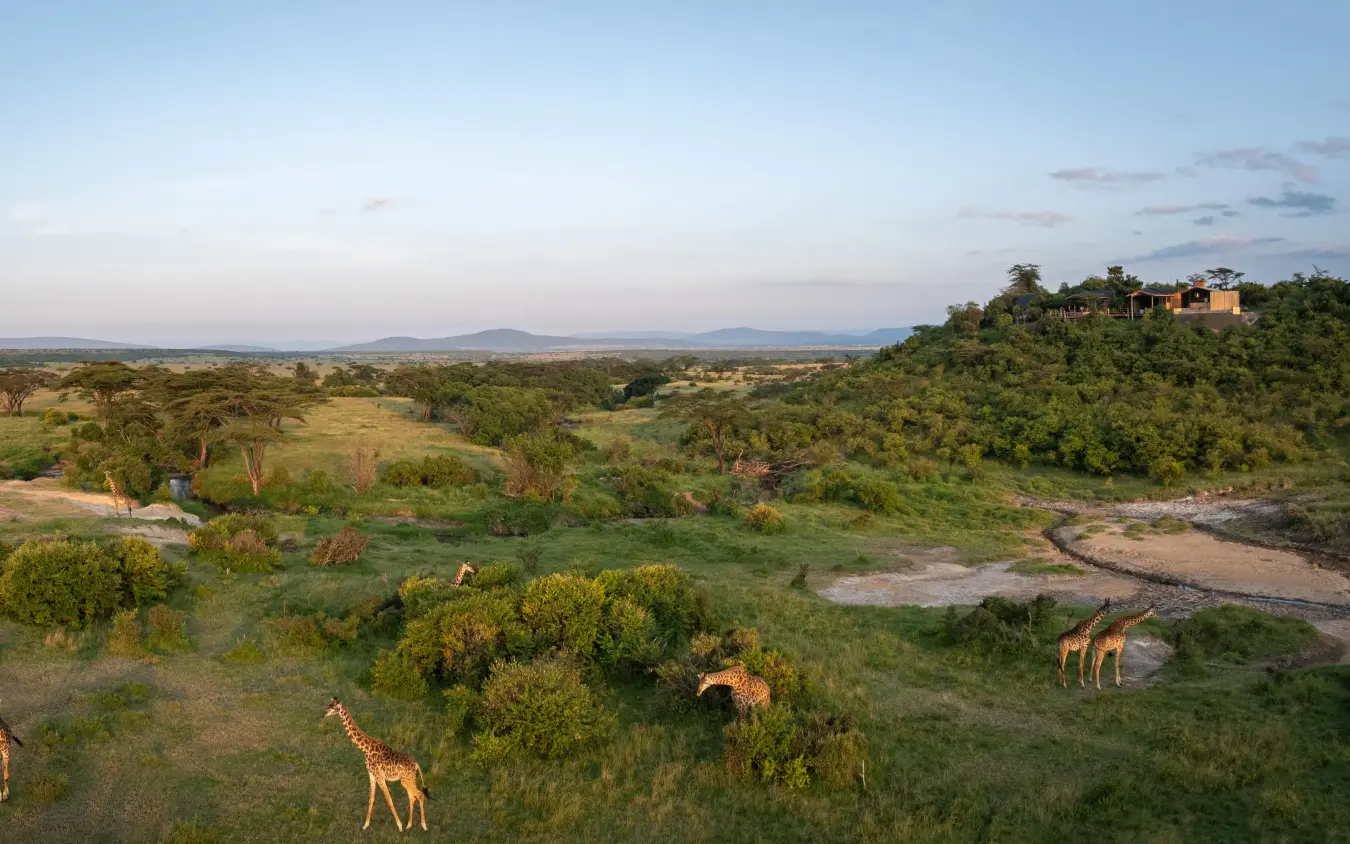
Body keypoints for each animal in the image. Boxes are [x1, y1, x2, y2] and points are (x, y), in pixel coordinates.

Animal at [323, 698, 430, 831]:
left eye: (334, 707)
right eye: (329, 704)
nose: (324, 714)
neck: (366, 749)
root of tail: (416, 764)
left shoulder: (379, 776)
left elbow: (389, 800)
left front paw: (399, 826)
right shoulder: (371, 774)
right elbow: (371, 799)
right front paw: (365, 825)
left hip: (406, 780)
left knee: (419, 795)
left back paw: (423, 825)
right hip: (407, 780)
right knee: (412, 796)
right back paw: (409, 825)